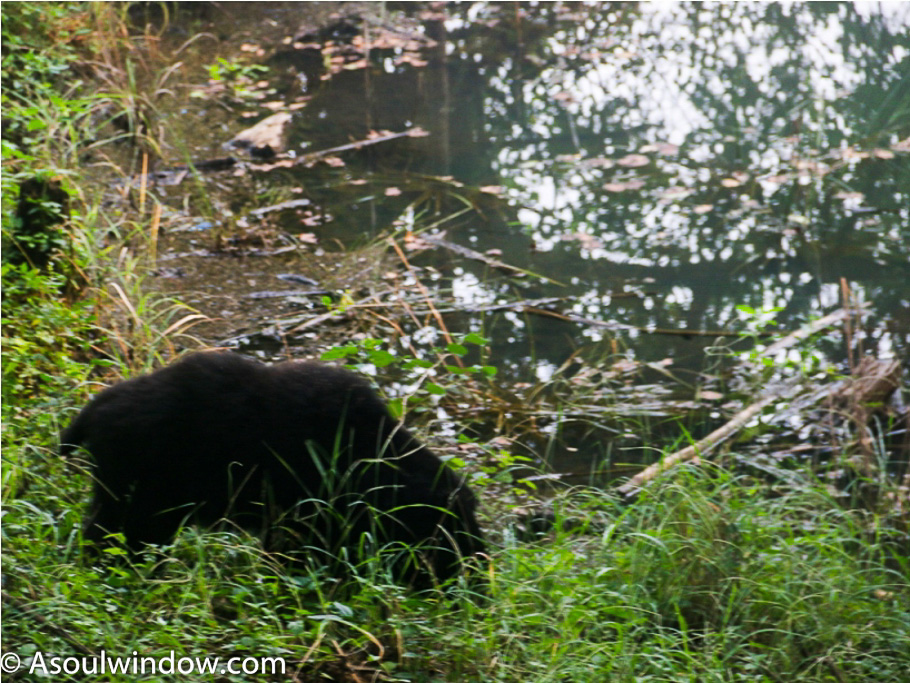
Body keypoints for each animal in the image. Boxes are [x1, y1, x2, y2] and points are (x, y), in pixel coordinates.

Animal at [58, 356, 484, 584]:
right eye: (451, 532)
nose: (478, 584)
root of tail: (94, 412)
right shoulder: (303, 522)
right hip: (140, 504)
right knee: (108, 540)